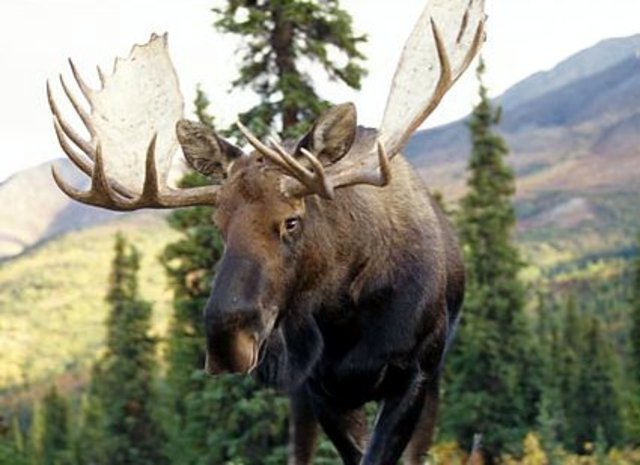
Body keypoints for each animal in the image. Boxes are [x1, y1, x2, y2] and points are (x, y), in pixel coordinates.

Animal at [47, 0, 484, 463]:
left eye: (291, 220)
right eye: (219, 225)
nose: (225, 339)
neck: (346, 318)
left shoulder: (415, 374)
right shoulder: (317, 388)